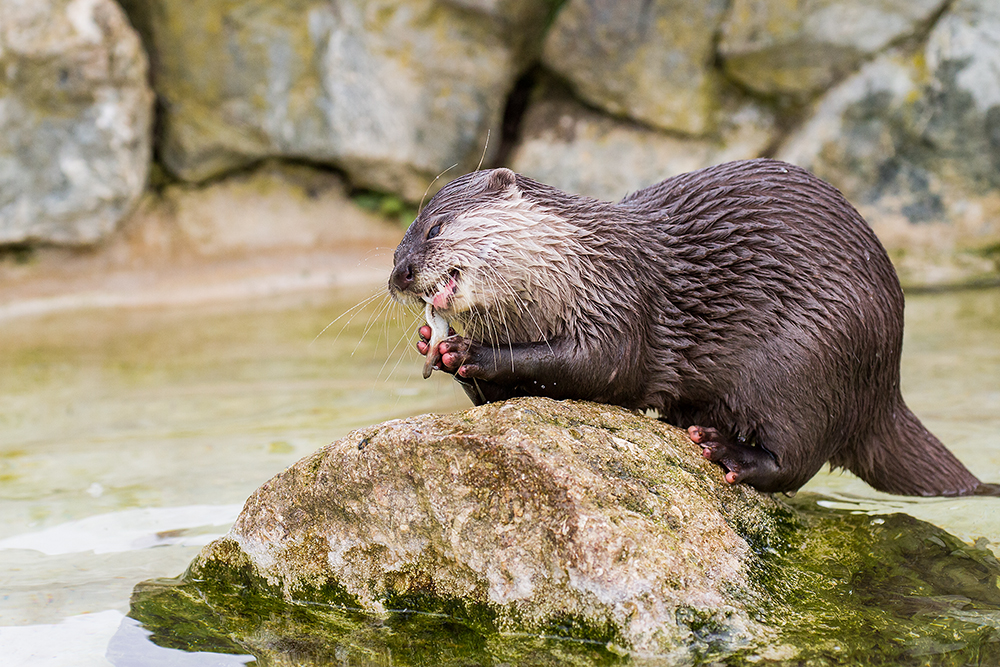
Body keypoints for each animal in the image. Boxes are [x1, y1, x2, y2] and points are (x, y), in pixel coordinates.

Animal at [388, 159, 993, 497]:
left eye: (435, 228)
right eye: (400, 239)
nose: (398, 274)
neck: (575, 265)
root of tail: (885, 386)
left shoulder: (622, 300)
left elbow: (597, 365)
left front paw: (474, 352)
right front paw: (436, 347)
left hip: (810, 359)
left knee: (797, 460)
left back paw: (727, 453)